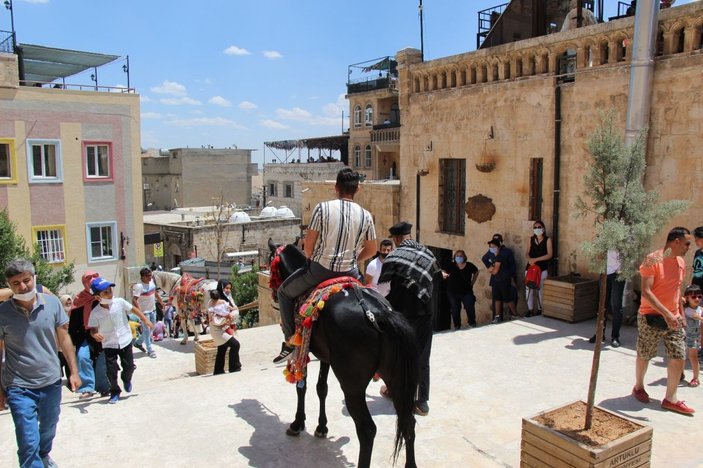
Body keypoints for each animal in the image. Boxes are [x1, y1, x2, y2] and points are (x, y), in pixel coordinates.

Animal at [270, 239, 420, 466]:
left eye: (270, 262)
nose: (272, 293)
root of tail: (380, 314)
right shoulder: (324, 356)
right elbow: (321, 388)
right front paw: (321, 427)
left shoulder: (303, 348)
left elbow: (301, 387)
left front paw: (297, 423)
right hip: (396, 377)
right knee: (408, 420)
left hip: (352, 385)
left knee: (367, 430)